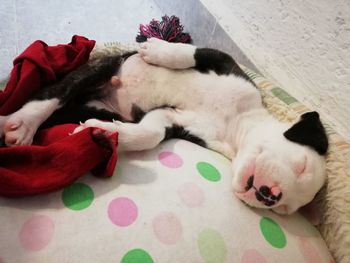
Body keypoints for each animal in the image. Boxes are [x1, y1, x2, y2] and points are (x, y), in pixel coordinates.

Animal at [0, 38, 328, 214]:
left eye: (283, 210)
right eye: (300, 166)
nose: (272, 195)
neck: (235, 123)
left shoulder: (173, 120)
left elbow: (150, 133)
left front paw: (109, 134)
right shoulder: (224, 63)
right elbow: (189, 53)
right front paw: (157, 49)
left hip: (93, 102)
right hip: (99, 69)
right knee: (52, 95)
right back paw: (23, 124)